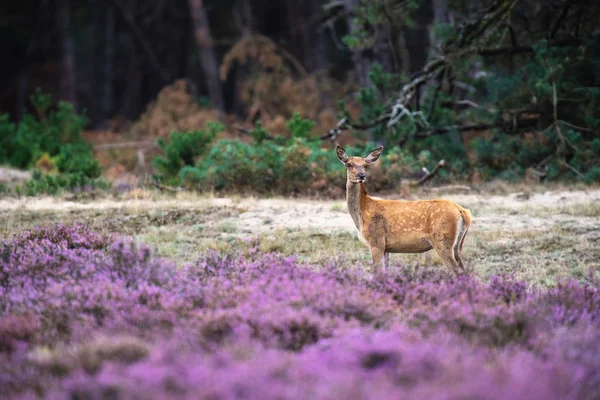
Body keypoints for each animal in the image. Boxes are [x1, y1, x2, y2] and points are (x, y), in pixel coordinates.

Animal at [336, 145, 472, 276]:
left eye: (365, 165)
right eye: (349, 164)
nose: (361, 176)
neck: (362, 213)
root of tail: (463, 211)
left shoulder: (376, 241)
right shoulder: (386, 248)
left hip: (442, 240)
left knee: (457, 272)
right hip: (458, 246)